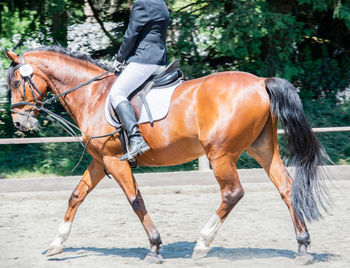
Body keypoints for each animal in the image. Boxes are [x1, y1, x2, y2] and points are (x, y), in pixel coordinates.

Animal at [4, 47, 330, 262]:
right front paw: (56, 244)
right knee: (286, 188)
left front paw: (154, 246)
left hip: (220, 155)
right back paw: (303, 246)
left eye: (17, 82)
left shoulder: (114, 161)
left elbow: (136, 201)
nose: (20, 124)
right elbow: (75, 196)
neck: (92, 95)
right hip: (261, 148)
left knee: (232, 193)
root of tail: (260, 81)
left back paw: (202, 244)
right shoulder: (100, 161)